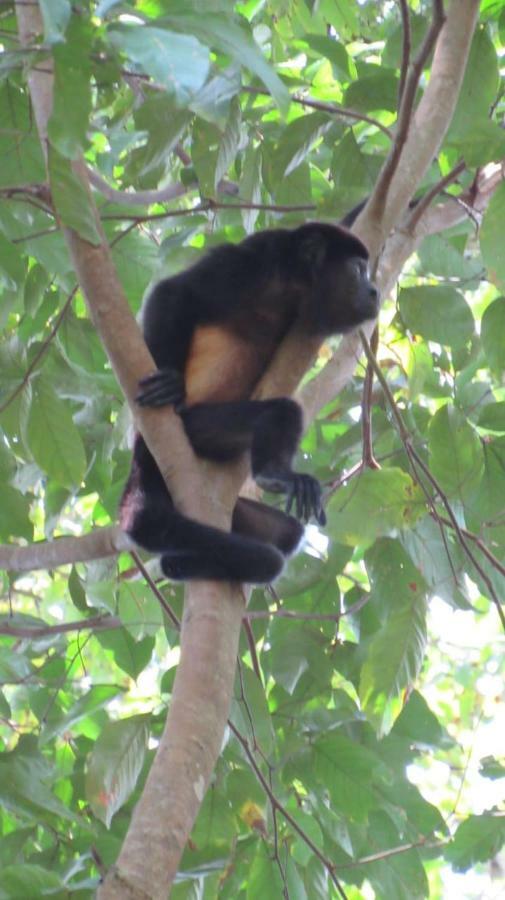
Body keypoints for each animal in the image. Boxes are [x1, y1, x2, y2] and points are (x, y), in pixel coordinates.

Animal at [119, 223, 378, 584]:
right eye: (358, 271)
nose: (375, 292)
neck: (293, 284)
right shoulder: (247, 261)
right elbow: (174, 291)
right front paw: (167, 378)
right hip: (197, 426)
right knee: (282, 411)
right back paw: (273, 475)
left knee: (286, 533)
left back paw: (182, 564)